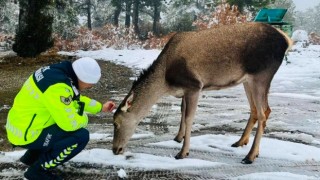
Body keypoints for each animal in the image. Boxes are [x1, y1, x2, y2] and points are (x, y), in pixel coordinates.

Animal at [111, 21, 292, 164]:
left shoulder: (194, 85)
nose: (115, 149)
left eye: (116, 122)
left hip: (261, 75)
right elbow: (182, 112)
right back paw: (241, 142)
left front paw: (183, 152)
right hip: (247, 81)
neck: (165, 81)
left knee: (263, 113)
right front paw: (178, 138)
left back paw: (250, 156)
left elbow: (189, 118)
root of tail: (286, 40)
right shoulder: (185, 90)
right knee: (258, 110)